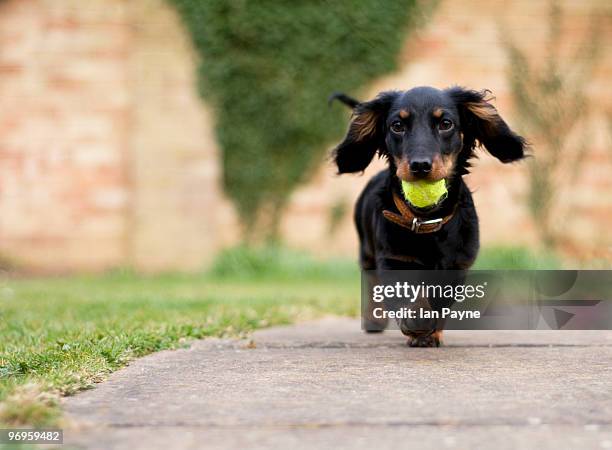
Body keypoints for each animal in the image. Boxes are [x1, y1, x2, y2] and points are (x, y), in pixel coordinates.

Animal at [330, 88, 524, 348]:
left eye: (445, 124)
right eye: (397, 126)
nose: (420, 165)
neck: (426, 221)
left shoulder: (456, 265)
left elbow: (440, 301)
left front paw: (432, 333)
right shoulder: (394, 259)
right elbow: (407, 296)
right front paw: (417, 324)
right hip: (367, 250)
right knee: (370, 282)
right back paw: (374, 320)